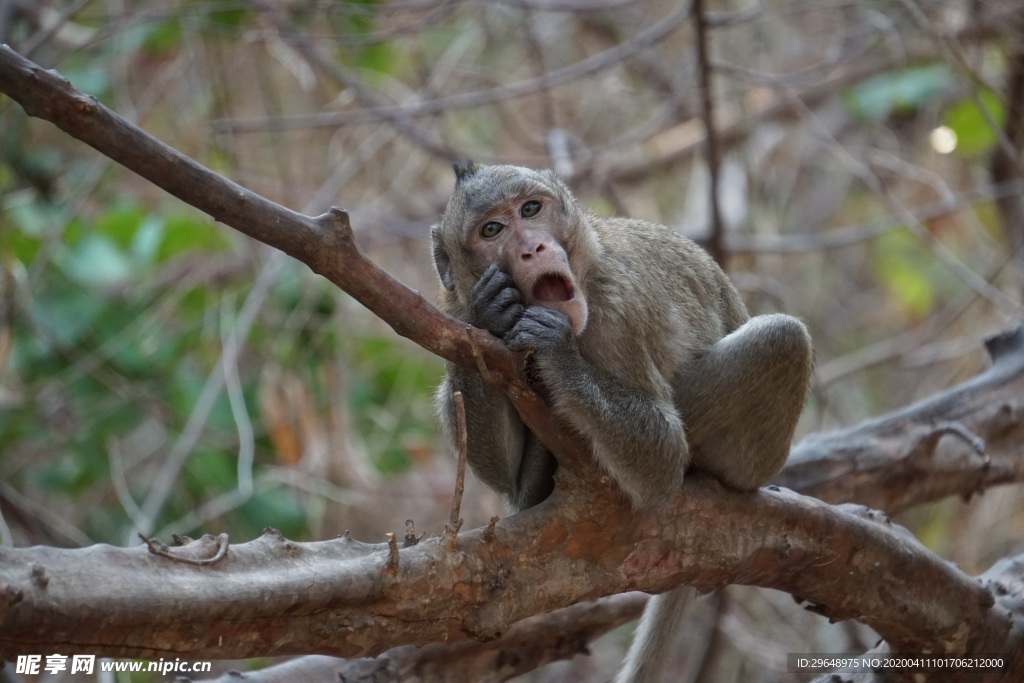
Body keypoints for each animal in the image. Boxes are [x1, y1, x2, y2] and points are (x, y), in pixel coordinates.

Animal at [428, 162, 811, 679]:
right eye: (492, 230)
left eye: (531, 209)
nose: (533, 248)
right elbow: (493, 455)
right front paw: (489, 311)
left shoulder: (615, 310)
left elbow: (662, 459)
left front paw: (558, 356)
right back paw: (534, 484)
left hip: (752, 458)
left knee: (783, 338)